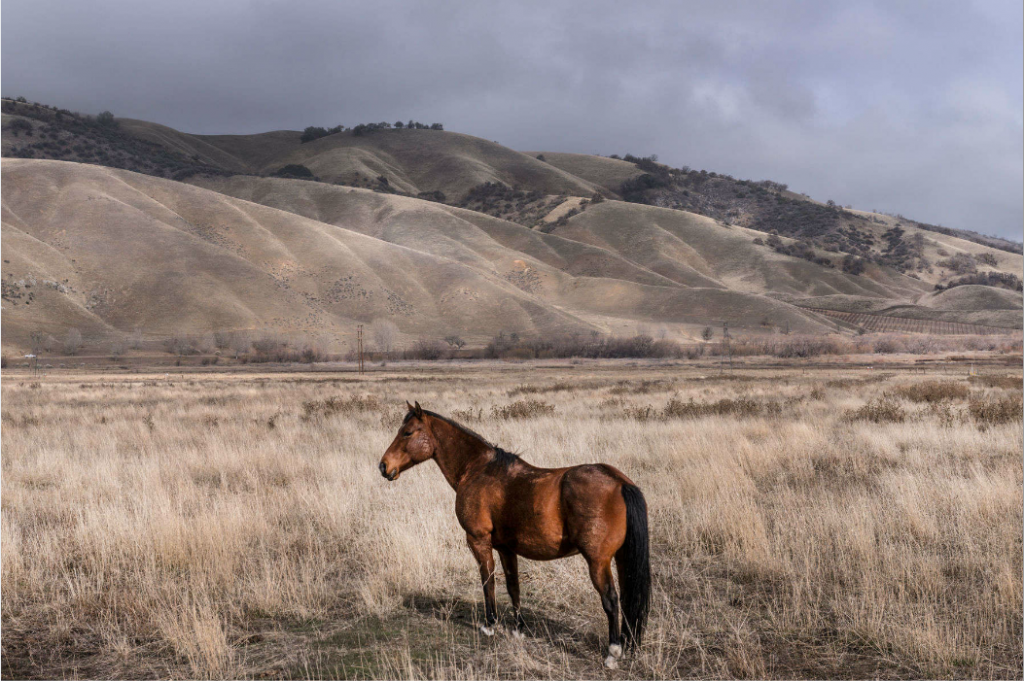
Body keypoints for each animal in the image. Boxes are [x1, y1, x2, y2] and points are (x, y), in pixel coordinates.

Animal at [376, 401, 647, 667]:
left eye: (407, 432)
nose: (383, 466)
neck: (478, 470)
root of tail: (620, 482)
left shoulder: (478, 541)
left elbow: (488, 581)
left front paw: (490, 625)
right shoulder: (506, 548)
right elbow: (513, 586)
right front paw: (518, 628)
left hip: (597, 561)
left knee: (611, 600)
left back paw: (613, 652)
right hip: (621, 559)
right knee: (627, 598)